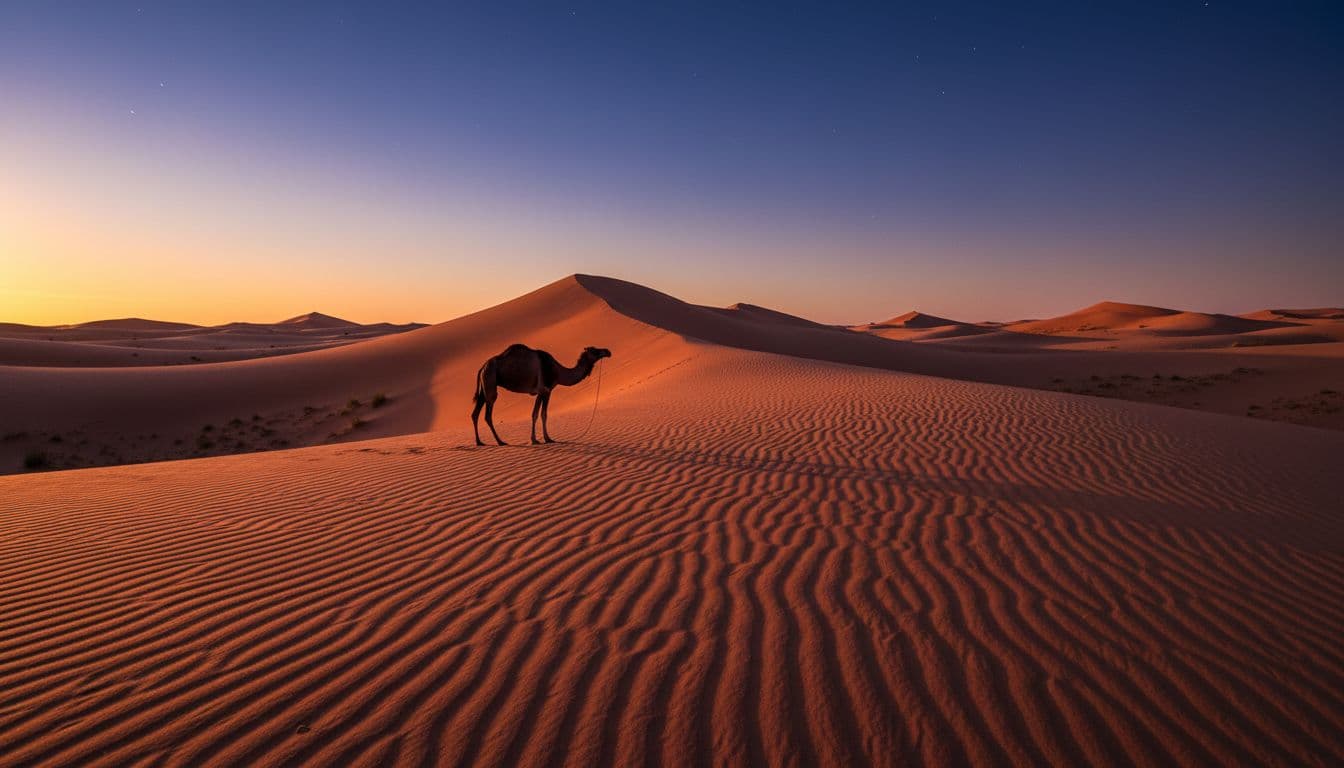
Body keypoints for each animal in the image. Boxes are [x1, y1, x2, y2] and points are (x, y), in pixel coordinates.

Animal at [471, 344, 612, 446]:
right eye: (594, 350)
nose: (607, 351)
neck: (557, 371)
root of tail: (482, 367)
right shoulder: (545, 390)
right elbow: (541, 414)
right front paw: (543, 439)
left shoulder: (542, 392)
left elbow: (538, 414)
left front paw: (540, 439)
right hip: (490, 383)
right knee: (488, 415)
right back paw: (500, 441)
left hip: (484, 388)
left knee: (475, 413)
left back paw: (479, 442)